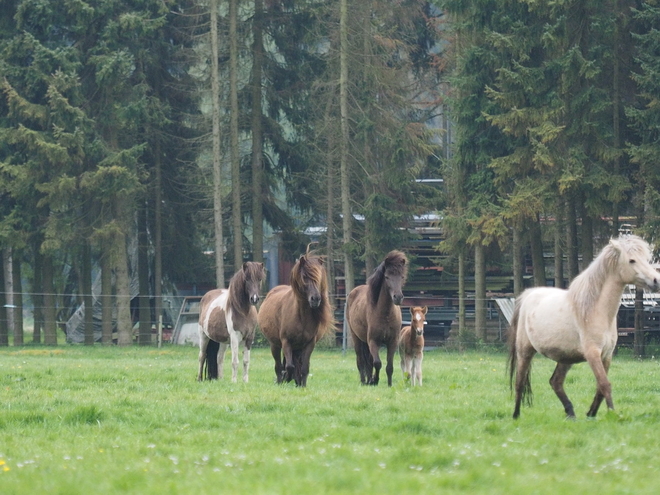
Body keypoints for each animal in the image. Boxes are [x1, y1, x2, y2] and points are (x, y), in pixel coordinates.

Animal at [255, 252, 332, 388]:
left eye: (319, 276)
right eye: (305, 276)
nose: (316, 299)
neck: (301, 316)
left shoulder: (309, 344)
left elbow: (304, 367)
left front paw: (302, 385)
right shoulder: (286, 342)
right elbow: (289, 366)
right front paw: (286, 377)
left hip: (297, 348)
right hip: (275, 345)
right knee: (279, 365)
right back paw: (281, 380)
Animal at [346, 252, 408, 388]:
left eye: (401, 276)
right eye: (387, 277)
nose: (398, 297)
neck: (385, 314)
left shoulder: (392, 342)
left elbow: (389, 366)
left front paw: (389, 384)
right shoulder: (373, 341)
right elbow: (377, 363)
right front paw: (375, 380)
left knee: (368, 360)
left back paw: (368, 379)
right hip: (356, 338)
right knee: (360, 360)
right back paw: (364, 381)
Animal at [510, 236, 660, 418]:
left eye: (646, 259)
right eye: (632, 260)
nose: (656, 280)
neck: (596, 310)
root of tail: (528, 295)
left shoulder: (606, 355)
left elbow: (600, 387)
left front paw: (591, 414)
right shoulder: (592, 353)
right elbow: (605, 384)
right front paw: (613, 414)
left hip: (565, 358)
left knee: (555, 382)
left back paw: (571, 414)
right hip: (525, 351)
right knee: (519, 382)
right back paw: (516, 415)